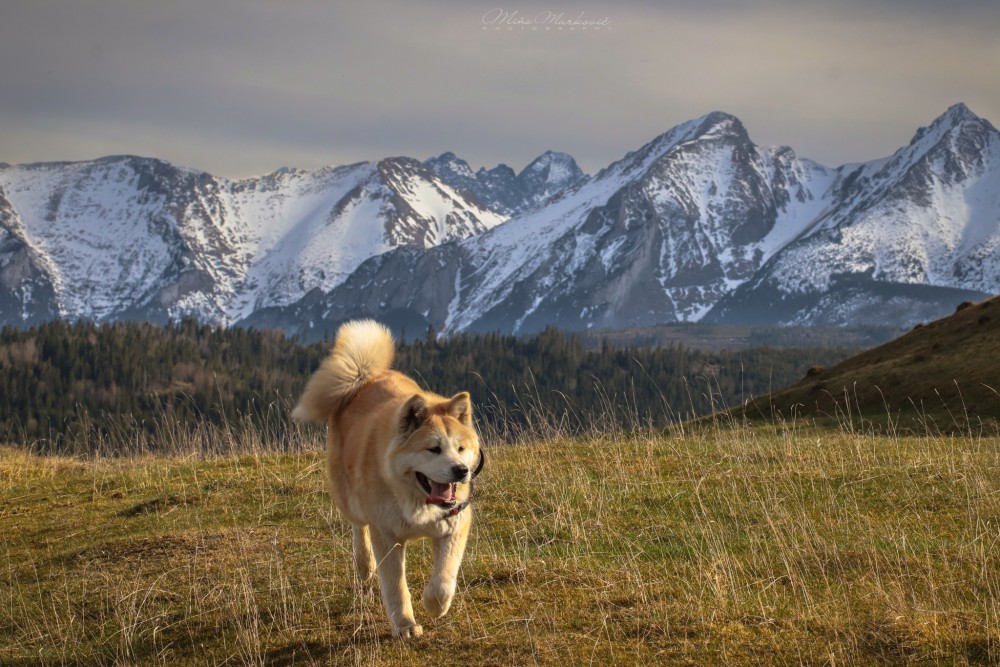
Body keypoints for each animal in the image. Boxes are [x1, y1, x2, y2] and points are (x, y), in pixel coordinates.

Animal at [292, 320, 484, 640]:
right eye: (433, 449)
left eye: (460, 448)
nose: (461, 471)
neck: (415, 498)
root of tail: (365, 379)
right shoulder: (386, 534)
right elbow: (395, 585)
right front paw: (405, 625)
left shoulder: (455, 523)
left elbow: (444, 579)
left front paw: (434, 605)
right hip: (349, 498)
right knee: (358, 527)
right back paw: (364, 564)